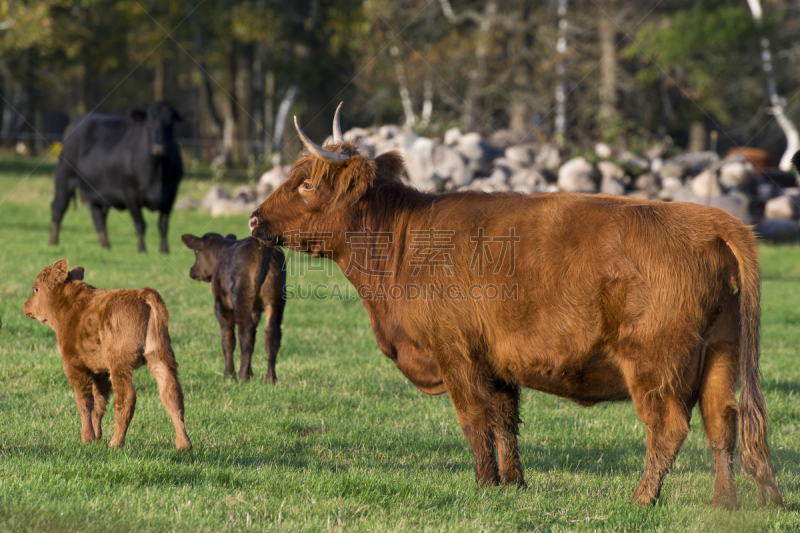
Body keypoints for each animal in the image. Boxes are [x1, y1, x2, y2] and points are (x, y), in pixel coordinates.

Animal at [22, 260, 191, 450]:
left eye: (36, 288)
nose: (25, 306)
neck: (70, 307)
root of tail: (143, 294)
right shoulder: (100, 371)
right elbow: (99, 405)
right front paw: (96, 438)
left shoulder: (75, 365)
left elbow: (85, 403)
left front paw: (87, 438)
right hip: (160, 357)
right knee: (172, 395)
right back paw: (184, 445)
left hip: (120, 364)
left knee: (126, 398)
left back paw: (115, 443)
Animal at [50, 101, 186, 251]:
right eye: (149, 121)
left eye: (170, 123)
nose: (159, 148)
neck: (157, 173)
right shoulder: (130, 194)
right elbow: (140, 224)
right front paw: (142, 250)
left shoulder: (171, 195)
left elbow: (163, 225)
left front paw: (164, 250)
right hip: (64, 178)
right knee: (58, 208)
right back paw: (53, 242)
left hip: (96, 192)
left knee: (98, 217)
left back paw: (106, 247)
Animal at [183, 233, 286, 382]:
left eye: (196, 251)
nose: (192, 271)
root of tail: (263, 246)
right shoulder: (256, 310)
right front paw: (250, 373)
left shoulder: (221, 306)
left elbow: (227, 340)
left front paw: (229, 375)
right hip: (276, 300)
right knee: (272, 334)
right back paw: (270, 379)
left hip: (242, 299)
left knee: (246, 333)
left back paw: (242, 376)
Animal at [248, 106, 780, 510]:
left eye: (306, 185)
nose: (254, 218)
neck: (399, 247)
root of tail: (708, 218)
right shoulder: (498, 362)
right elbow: (505, 422)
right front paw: (512, 485)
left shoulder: (456, 353)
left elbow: (474, 419)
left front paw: (484, 485)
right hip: (720, 356)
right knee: (722, 422)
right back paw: (723, 505)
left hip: (653, 363)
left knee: (669, 427)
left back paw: (641, 500)